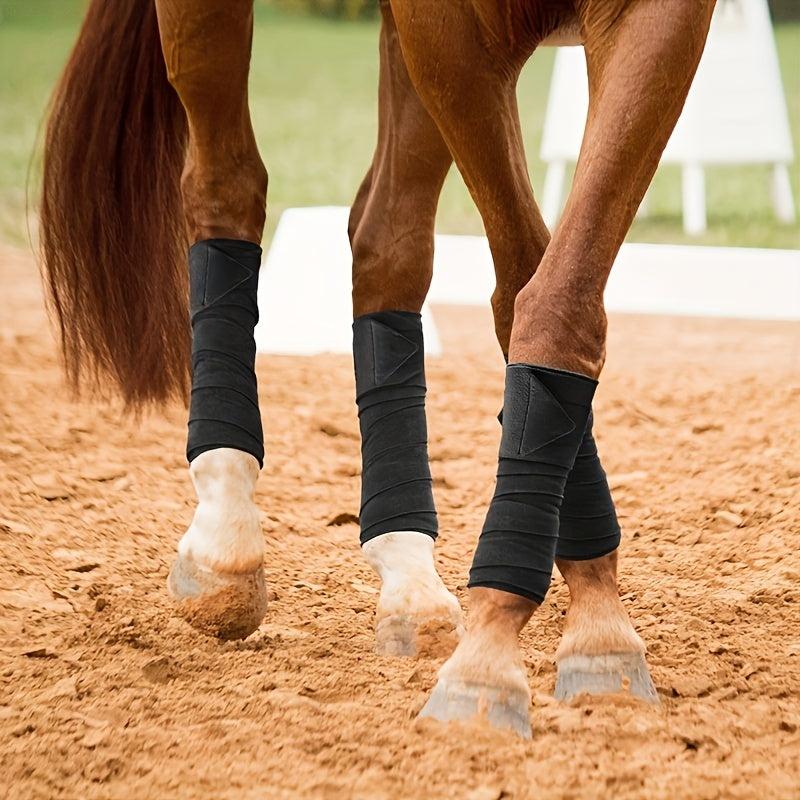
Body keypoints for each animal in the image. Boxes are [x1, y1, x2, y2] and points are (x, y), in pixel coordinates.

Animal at [40, 0, 715, 737]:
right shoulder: (455, 36)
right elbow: (523, 284)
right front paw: (493, 656)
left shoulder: (659, 20)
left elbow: (559, 296)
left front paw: (596, 622)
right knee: (224, 185)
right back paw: (224, 531)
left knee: (386, 242)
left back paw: (407, 571)